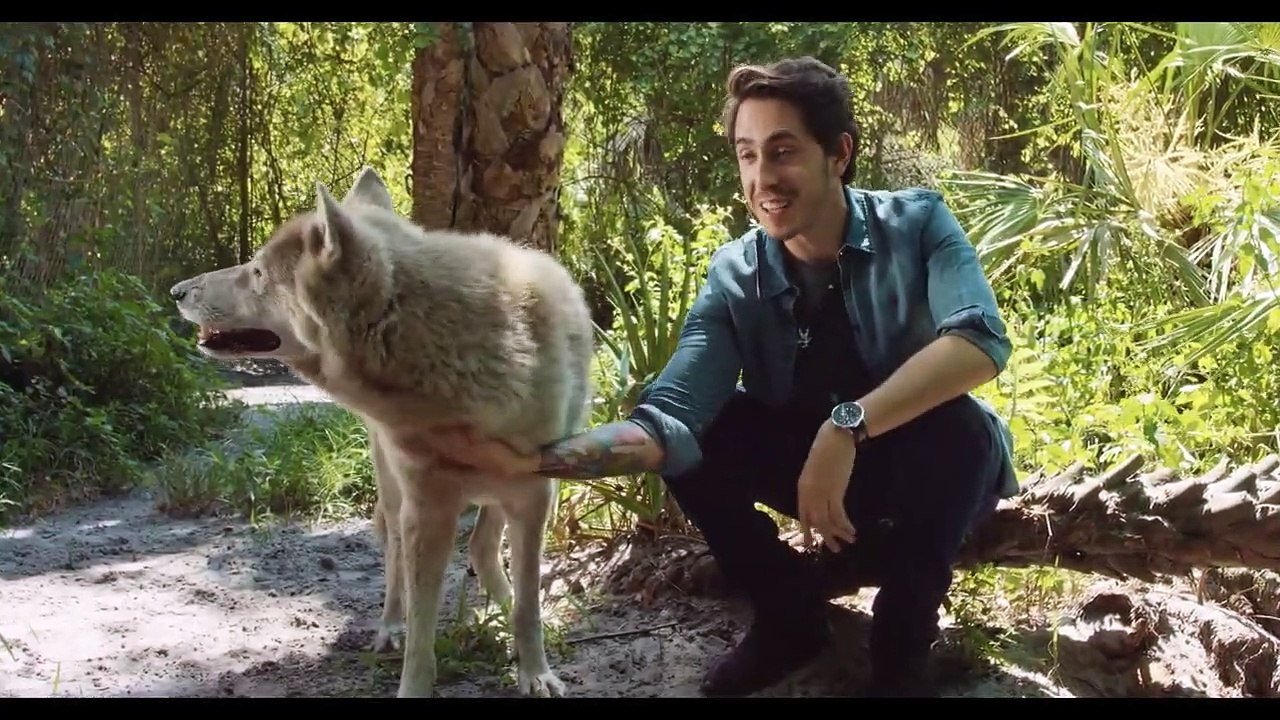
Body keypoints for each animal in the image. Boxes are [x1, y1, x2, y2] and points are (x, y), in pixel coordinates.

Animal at [169, 167, 595, 698]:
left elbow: (528, 608)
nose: (176, 291)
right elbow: (420, 633)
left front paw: (536, 673)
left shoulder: (534, 495)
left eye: (259, 272)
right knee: (396, 558)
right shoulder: (426, 510)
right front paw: (413, 678)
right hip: (394, 492)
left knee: (482, 547)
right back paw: (390, 627)